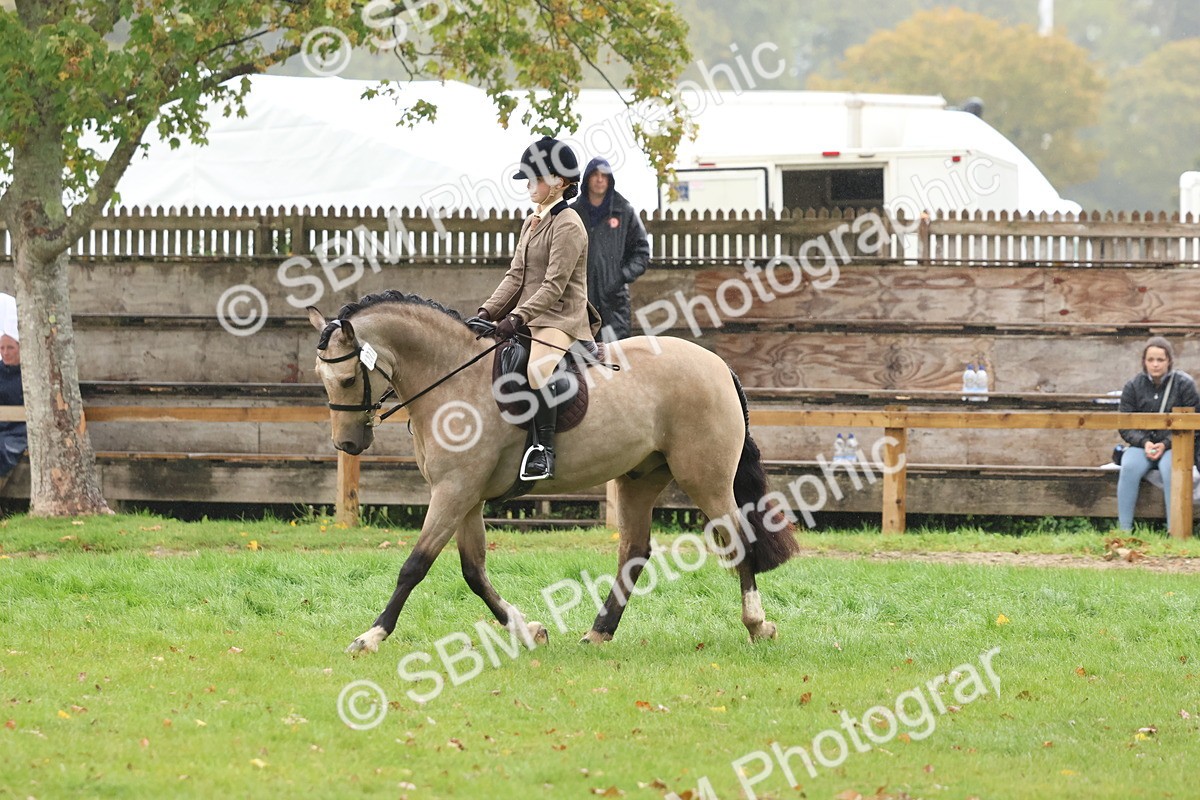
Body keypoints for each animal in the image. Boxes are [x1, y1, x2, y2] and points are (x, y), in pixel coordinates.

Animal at [307, 290, 800, 653]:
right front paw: (528, 630)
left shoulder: (454, 491)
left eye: (347, 380)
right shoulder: (465, 497)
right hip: (640, 477)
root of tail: (718, 365)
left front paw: (370, 636)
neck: (452, 379)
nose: (347, 445)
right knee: (634, 551)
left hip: (705, 477)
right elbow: (473, 571)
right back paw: (599, 631)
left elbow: (415, 566)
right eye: (324, 380)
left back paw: (757, 625)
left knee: (737, 538)